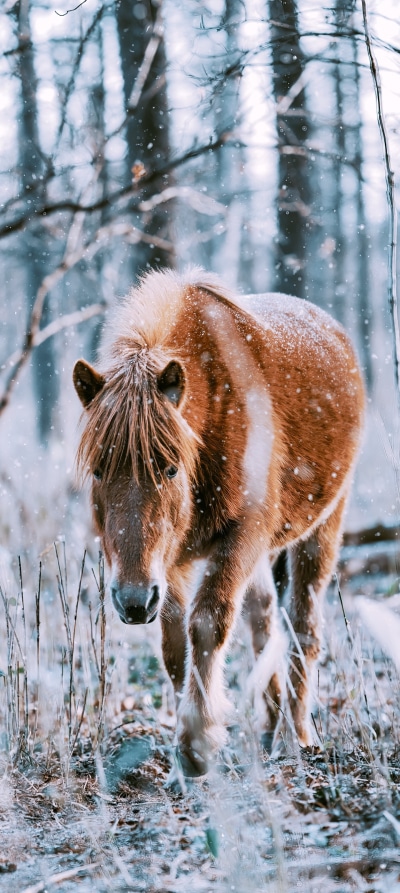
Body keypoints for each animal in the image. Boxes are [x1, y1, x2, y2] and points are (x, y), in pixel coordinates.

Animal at [73, 268, 365, 777]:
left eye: (170, 469)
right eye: (98, 470)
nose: (132, 602)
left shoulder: (242, 535)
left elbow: (208, 623)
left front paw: (196, 744)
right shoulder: (168, 564)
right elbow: (175, 648)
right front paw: (184, 753)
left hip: (323, 527)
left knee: (302, 628)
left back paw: (294, 737)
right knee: (264, 618)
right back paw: (270, 722)